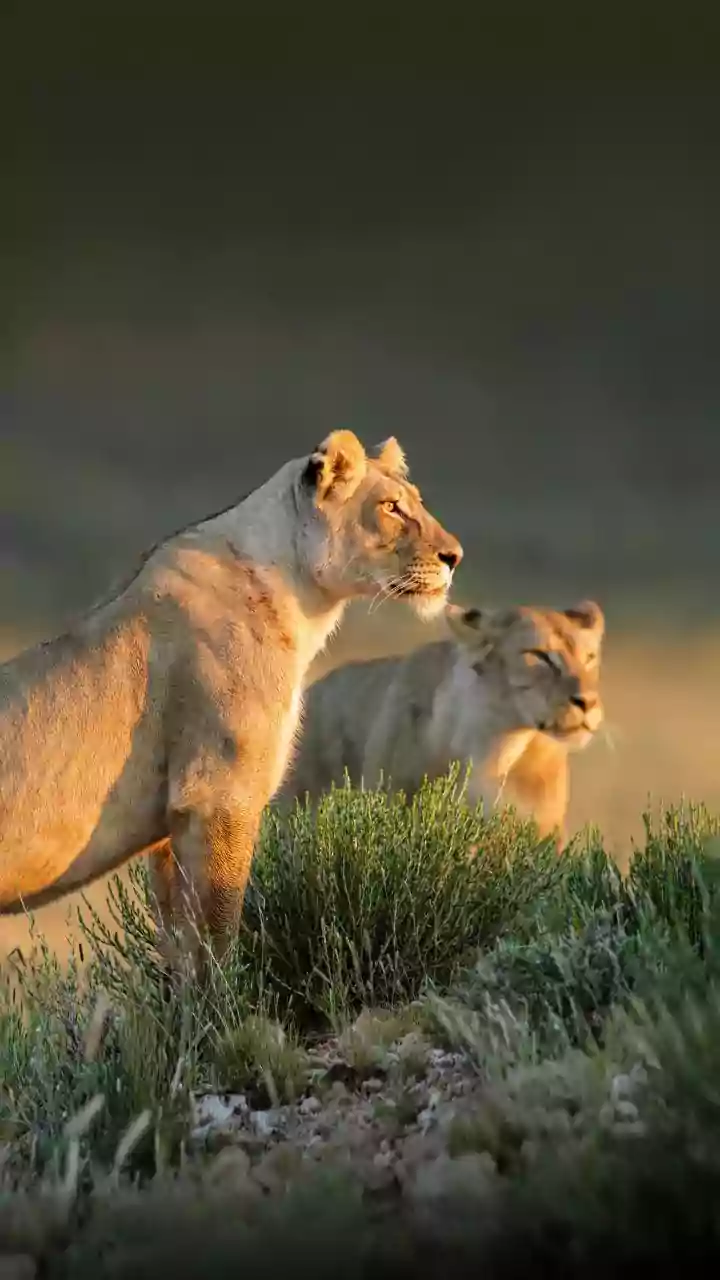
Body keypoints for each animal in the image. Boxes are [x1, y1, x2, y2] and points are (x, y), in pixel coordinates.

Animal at [0, 430, 462, 968]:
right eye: (391, 507)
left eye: (417, 503)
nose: (455, 556)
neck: (301, 598)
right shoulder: (220, 796)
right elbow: (217, 939)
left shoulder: (172, 827)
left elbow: (179, 948)